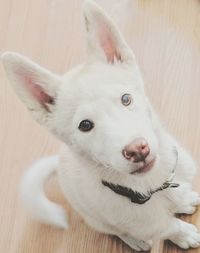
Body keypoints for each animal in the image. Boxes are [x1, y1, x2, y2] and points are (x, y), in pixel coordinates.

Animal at [1, 0, 200, 251]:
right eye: (85, 125)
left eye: (126, 99)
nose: (138, 150)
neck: (153, 185)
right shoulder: (145, 223)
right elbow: (169, 226)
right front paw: (184, 234)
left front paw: (183, 200)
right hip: (96, 220)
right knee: (118, 231)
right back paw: (136, 241)